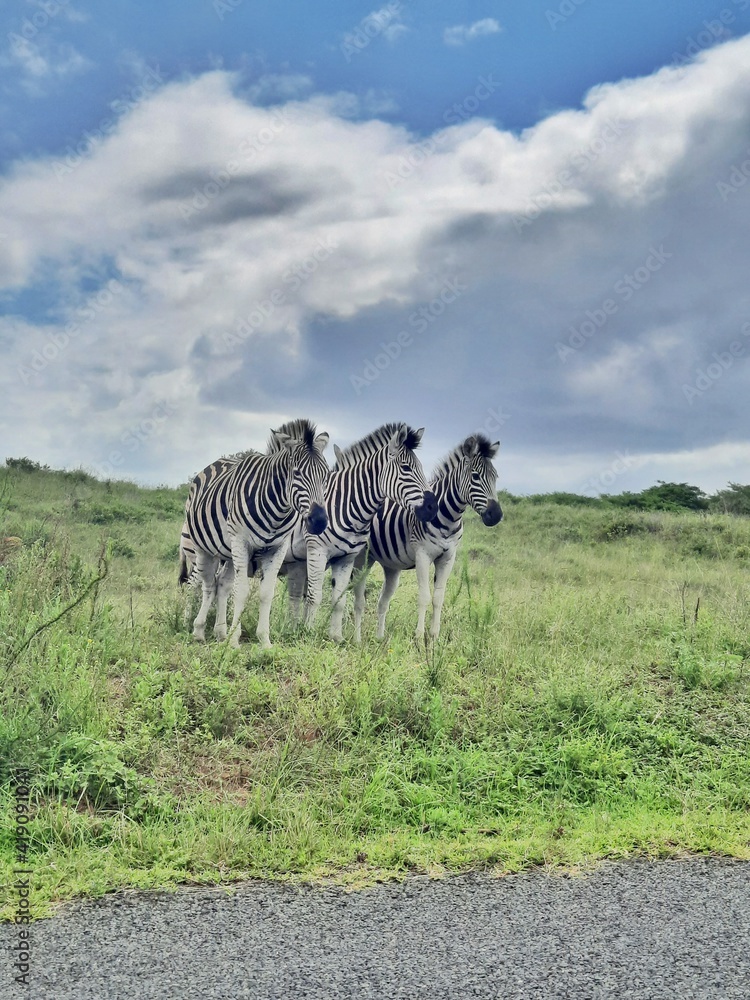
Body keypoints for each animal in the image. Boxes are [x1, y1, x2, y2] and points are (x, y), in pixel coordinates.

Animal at [185, 419, 330, 648]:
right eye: (297, 473)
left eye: (325, 475)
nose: (320, 521)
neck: (278, 510)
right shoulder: (242, 542)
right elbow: (241, 592)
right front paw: (234, 640)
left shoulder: (277, 548)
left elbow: (266, 593)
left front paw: (264, 641)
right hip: (204, 549)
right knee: (207, 585)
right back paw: (199, 631)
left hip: (229, 553)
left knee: (222, 585)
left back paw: (220, 632)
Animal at [280, 423, 439, 642]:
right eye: (406, 468)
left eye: (422, 468)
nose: (433, 507)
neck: (345, 504)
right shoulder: (317, 550)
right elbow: (315, 596)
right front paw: (308, 634)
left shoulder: (346, 557)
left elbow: (339, 598)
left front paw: (336, 638)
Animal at [352, 434, 502, 641]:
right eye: (476, 476)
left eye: (495, 477)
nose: (496, 515)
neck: (448, 518)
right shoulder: (422, 555)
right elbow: (424, 596)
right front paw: (419, 637)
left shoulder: (448, 558)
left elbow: (438, 598)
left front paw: (434, 637)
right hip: (363, 557)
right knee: (356, 594)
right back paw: (356, 638)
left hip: (391, 565)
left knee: (382, 601)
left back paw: (380, 638)